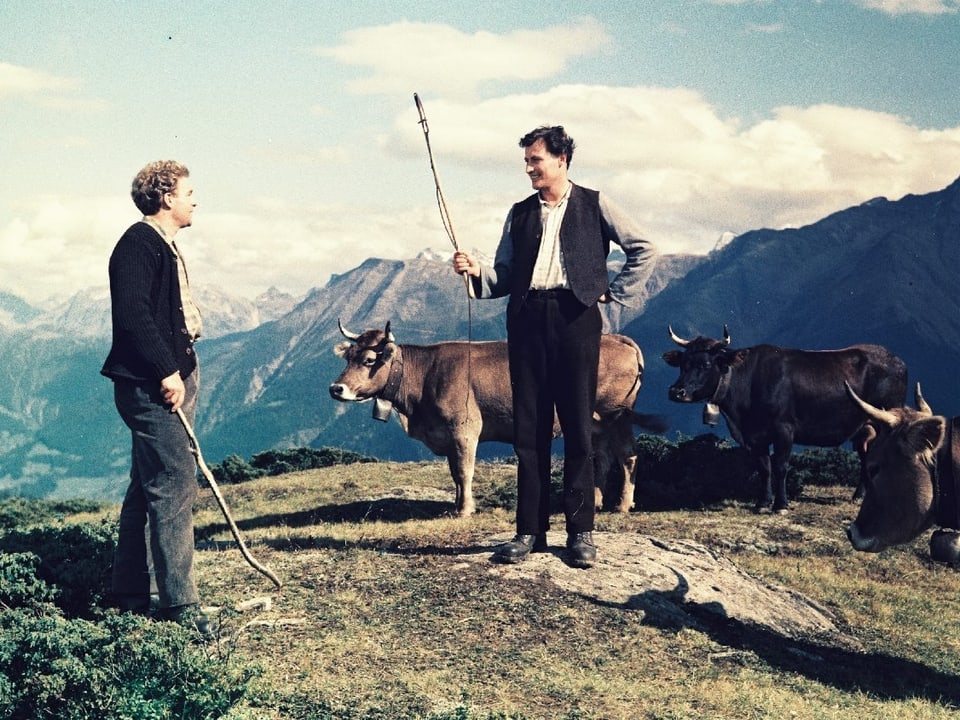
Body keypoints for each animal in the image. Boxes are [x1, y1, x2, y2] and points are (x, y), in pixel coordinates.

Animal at [326, 322, 664, 516]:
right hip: (596, 424)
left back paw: (622, 506)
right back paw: (596, 501)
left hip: (617, 416)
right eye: (347, 357)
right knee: (602, 457)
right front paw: (457, 505)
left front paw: (465, 510)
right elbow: (454, 474)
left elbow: (464, 471)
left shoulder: (464, 430)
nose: (335, 388)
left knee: (628, 457)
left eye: (369, 360)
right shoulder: (448, 435)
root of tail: (618, 339)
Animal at [660, 326, 908, 512]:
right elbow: (764, 468)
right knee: (866, 456)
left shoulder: (784, 430)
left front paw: (781, 505)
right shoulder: (755, 437)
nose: (676, 392)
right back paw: (859, 496)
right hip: (864, 428)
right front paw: (762, 503)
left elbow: (780, 466)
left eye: (706, 364)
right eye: (683, 363)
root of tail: (896, 360)